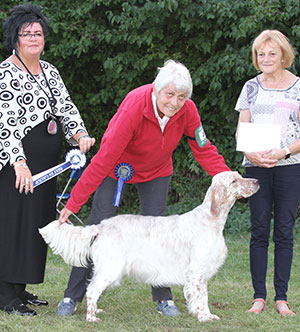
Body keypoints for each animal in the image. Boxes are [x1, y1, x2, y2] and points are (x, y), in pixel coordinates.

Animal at [39, 171, 260, 322]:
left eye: (240, 176)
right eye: (234, 181)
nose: (257, 181)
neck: (211, 220)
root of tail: (102, 226)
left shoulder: (202, 273)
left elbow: (204, 298)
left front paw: (208, 315)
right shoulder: (197, 271)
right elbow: (199, 298)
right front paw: (203, 317)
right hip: (111, 268)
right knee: (92, 290)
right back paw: (92, 317)